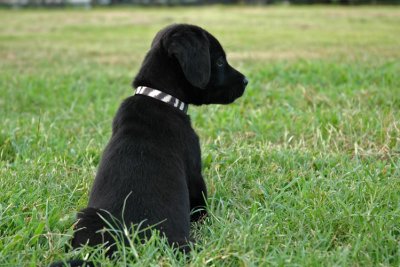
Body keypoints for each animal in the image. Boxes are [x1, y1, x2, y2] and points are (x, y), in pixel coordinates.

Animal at [50, 24, 247, 266]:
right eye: (219, 62)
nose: (246, 81)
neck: (158, 96)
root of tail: (126, 248)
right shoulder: (194, 172)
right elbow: (200, 203)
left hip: (88, 217)